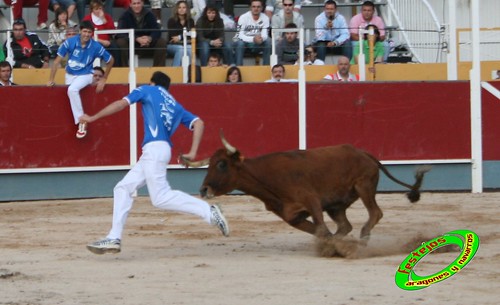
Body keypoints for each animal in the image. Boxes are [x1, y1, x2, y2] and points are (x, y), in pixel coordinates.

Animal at [184, 131, 430, 240]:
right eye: (210, 164)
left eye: (222, 164)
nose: (203, 190)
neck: (268, 178)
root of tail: (364, 153)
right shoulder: (292, 216)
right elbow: (321, 232)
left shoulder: (312, 201)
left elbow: (321, 228)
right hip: (336, 206)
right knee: (345, 226)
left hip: (364, 186)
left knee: (375, 213)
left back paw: (364, 235)